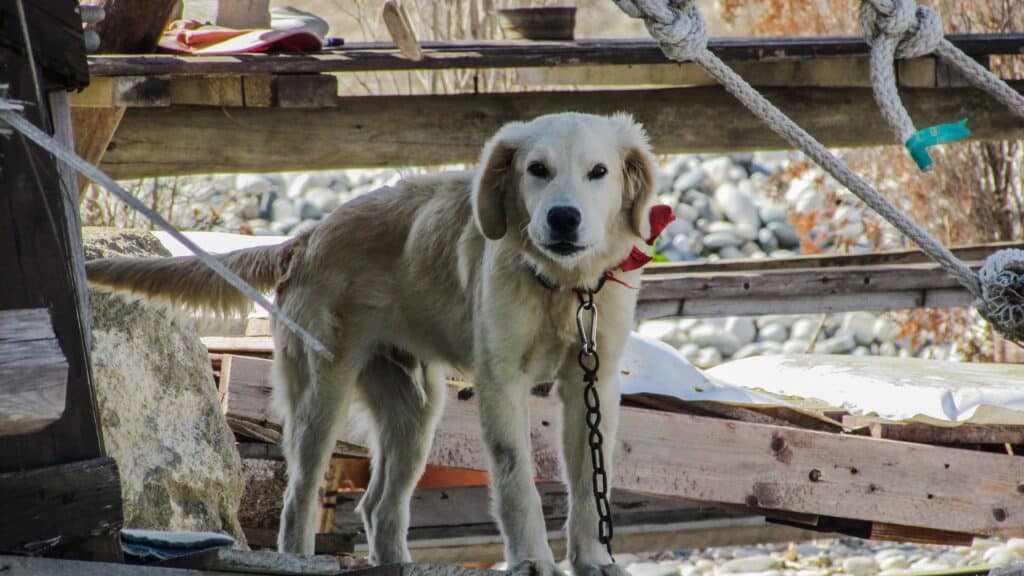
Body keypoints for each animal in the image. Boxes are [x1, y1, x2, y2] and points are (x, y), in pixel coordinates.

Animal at [90, 112, 663, 573]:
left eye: (599, 172)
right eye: (536, 170)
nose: (563, 218)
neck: (562, 287)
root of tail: (308, 237)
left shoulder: (593, 382)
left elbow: (590, 484)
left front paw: (594, 560)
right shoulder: (502, 382)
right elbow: (515, 479)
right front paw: (531, 561)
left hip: (416, 409)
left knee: (378, 506)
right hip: (323, 394)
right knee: (299, 497)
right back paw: (300, 558)